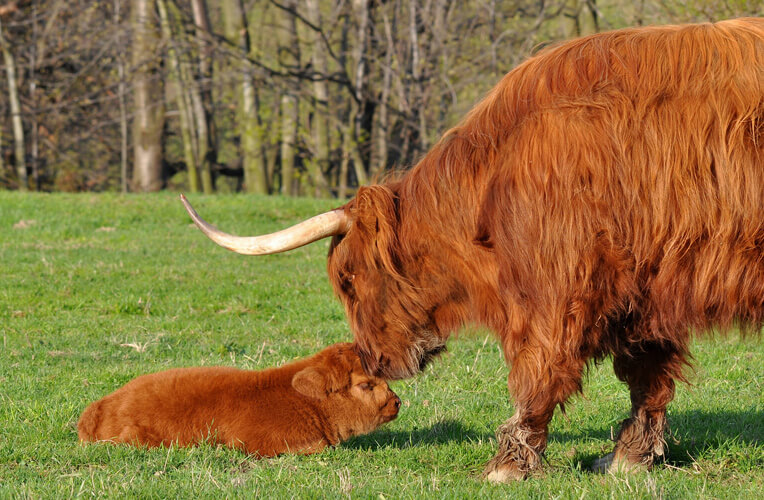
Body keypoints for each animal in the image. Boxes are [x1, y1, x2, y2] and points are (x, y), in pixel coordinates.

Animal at [181, 18, 764, 480]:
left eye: (347, 280)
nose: (375, 359)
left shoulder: (557, 288)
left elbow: (539, 372)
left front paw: (508, 465)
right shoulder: (644, 290)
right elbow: (647, 378)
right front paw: (628, 458)